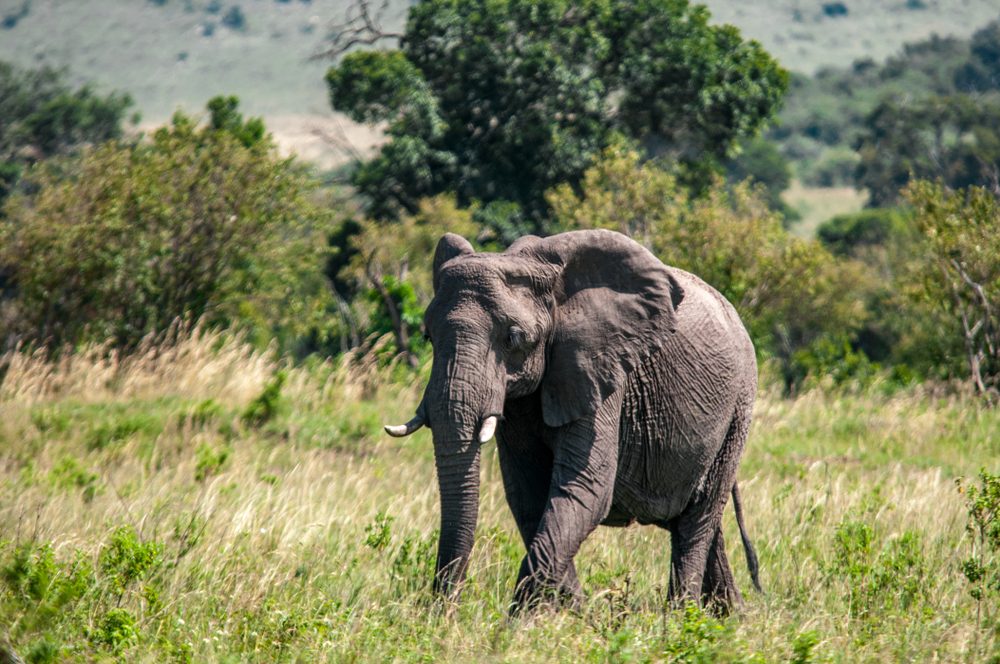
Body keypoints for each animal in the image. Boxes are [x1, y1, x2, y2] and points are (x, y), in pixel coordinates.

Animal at [382, 228, 756, 612]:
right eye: (427, 336)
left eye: (514, 338)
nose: (444, 610)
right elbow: (528, 493)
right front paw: (574, 611)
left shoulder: (602, 371)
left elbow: (585, 488)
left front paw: (521, 623)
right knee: (701, 524)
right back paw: (731, 616)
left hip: (738, 409)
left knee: (697, 520)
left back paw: (682, 616)